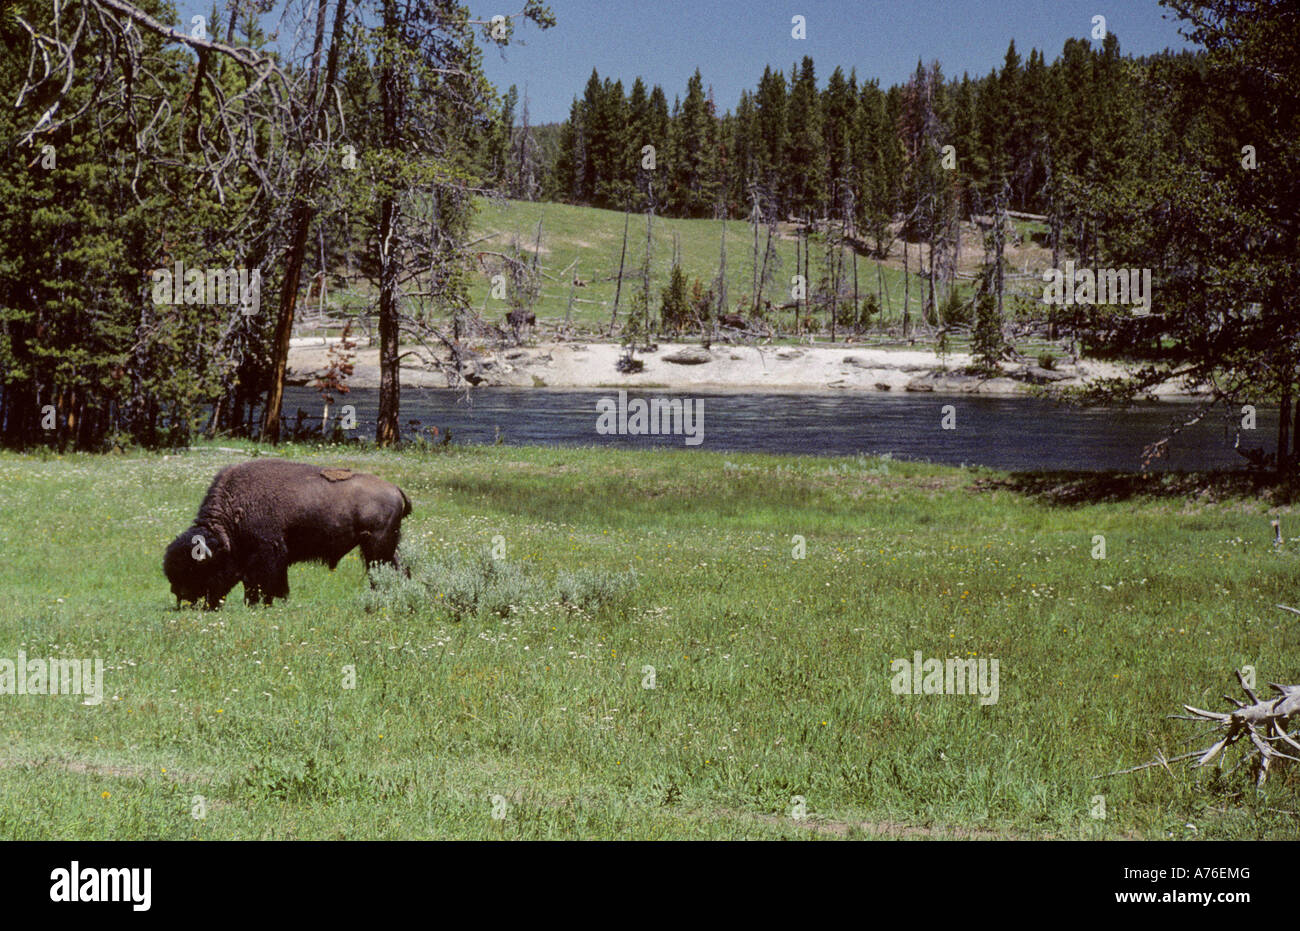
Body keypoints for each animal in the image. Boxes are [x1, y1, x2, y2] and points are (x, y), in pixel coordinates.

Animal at [164, 459, 412, 609]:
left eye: (197, 571)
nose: (183, 599)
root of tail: (395, 489)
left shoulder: (268, 554)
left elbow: (263, 582)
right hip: (388, 546)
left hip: (377, 547)